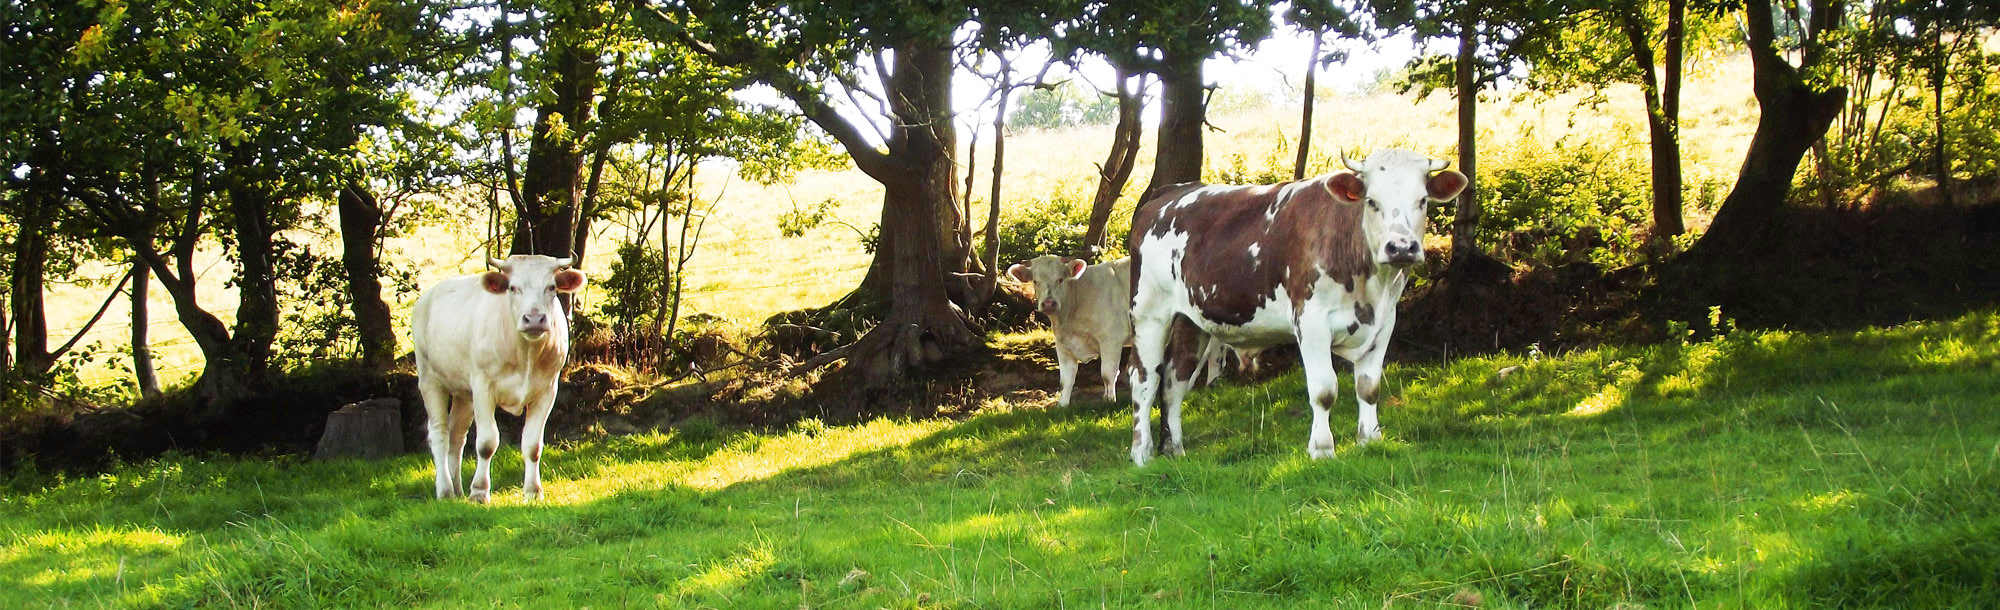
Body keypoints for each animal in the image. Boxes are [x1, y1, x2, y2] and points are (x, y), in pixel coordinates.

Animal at [410, 252, 584, 498]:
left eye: (551, 287)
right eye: (513, 287)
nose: (534, 319)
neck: (525, 354)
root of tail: (427, 297)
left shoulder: (547, 391)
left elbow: (533, 445)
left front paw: (533, 491)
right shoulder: (483, 387)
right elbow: (486, 443)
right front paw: (479, 491)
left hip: (464, 393)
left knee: (456, 435)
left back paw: (457, 490)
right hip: (430, 380)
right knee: (440, 434)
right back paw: (445, 490)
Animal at [1008, 254, 1136, 406]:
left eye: (1060, 279)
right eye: (1035, 281)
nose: (1049, 303)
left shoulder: (1111, 339)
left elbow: (1108, 374)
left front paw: (1110, 401)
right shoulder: (1063, 346)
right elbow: (1066, 381)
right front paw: (1062, 405)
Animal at [1128, 148, 1472, 466]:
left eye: (1423, 201)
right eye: (1372, 201)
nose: (1401, 247)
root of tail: (1169, 192)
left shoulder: (1385, 322)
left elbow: (1369, 387)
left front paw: (1369, 440)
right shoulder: (1311, 320)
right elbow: (1324, 389)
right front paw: (1322, 449)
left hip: (1191, 320)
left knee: (1174, 380)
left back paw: (1175, 450)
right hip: (1149, 313)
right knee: (1144, 380)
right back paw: (1142, 453)